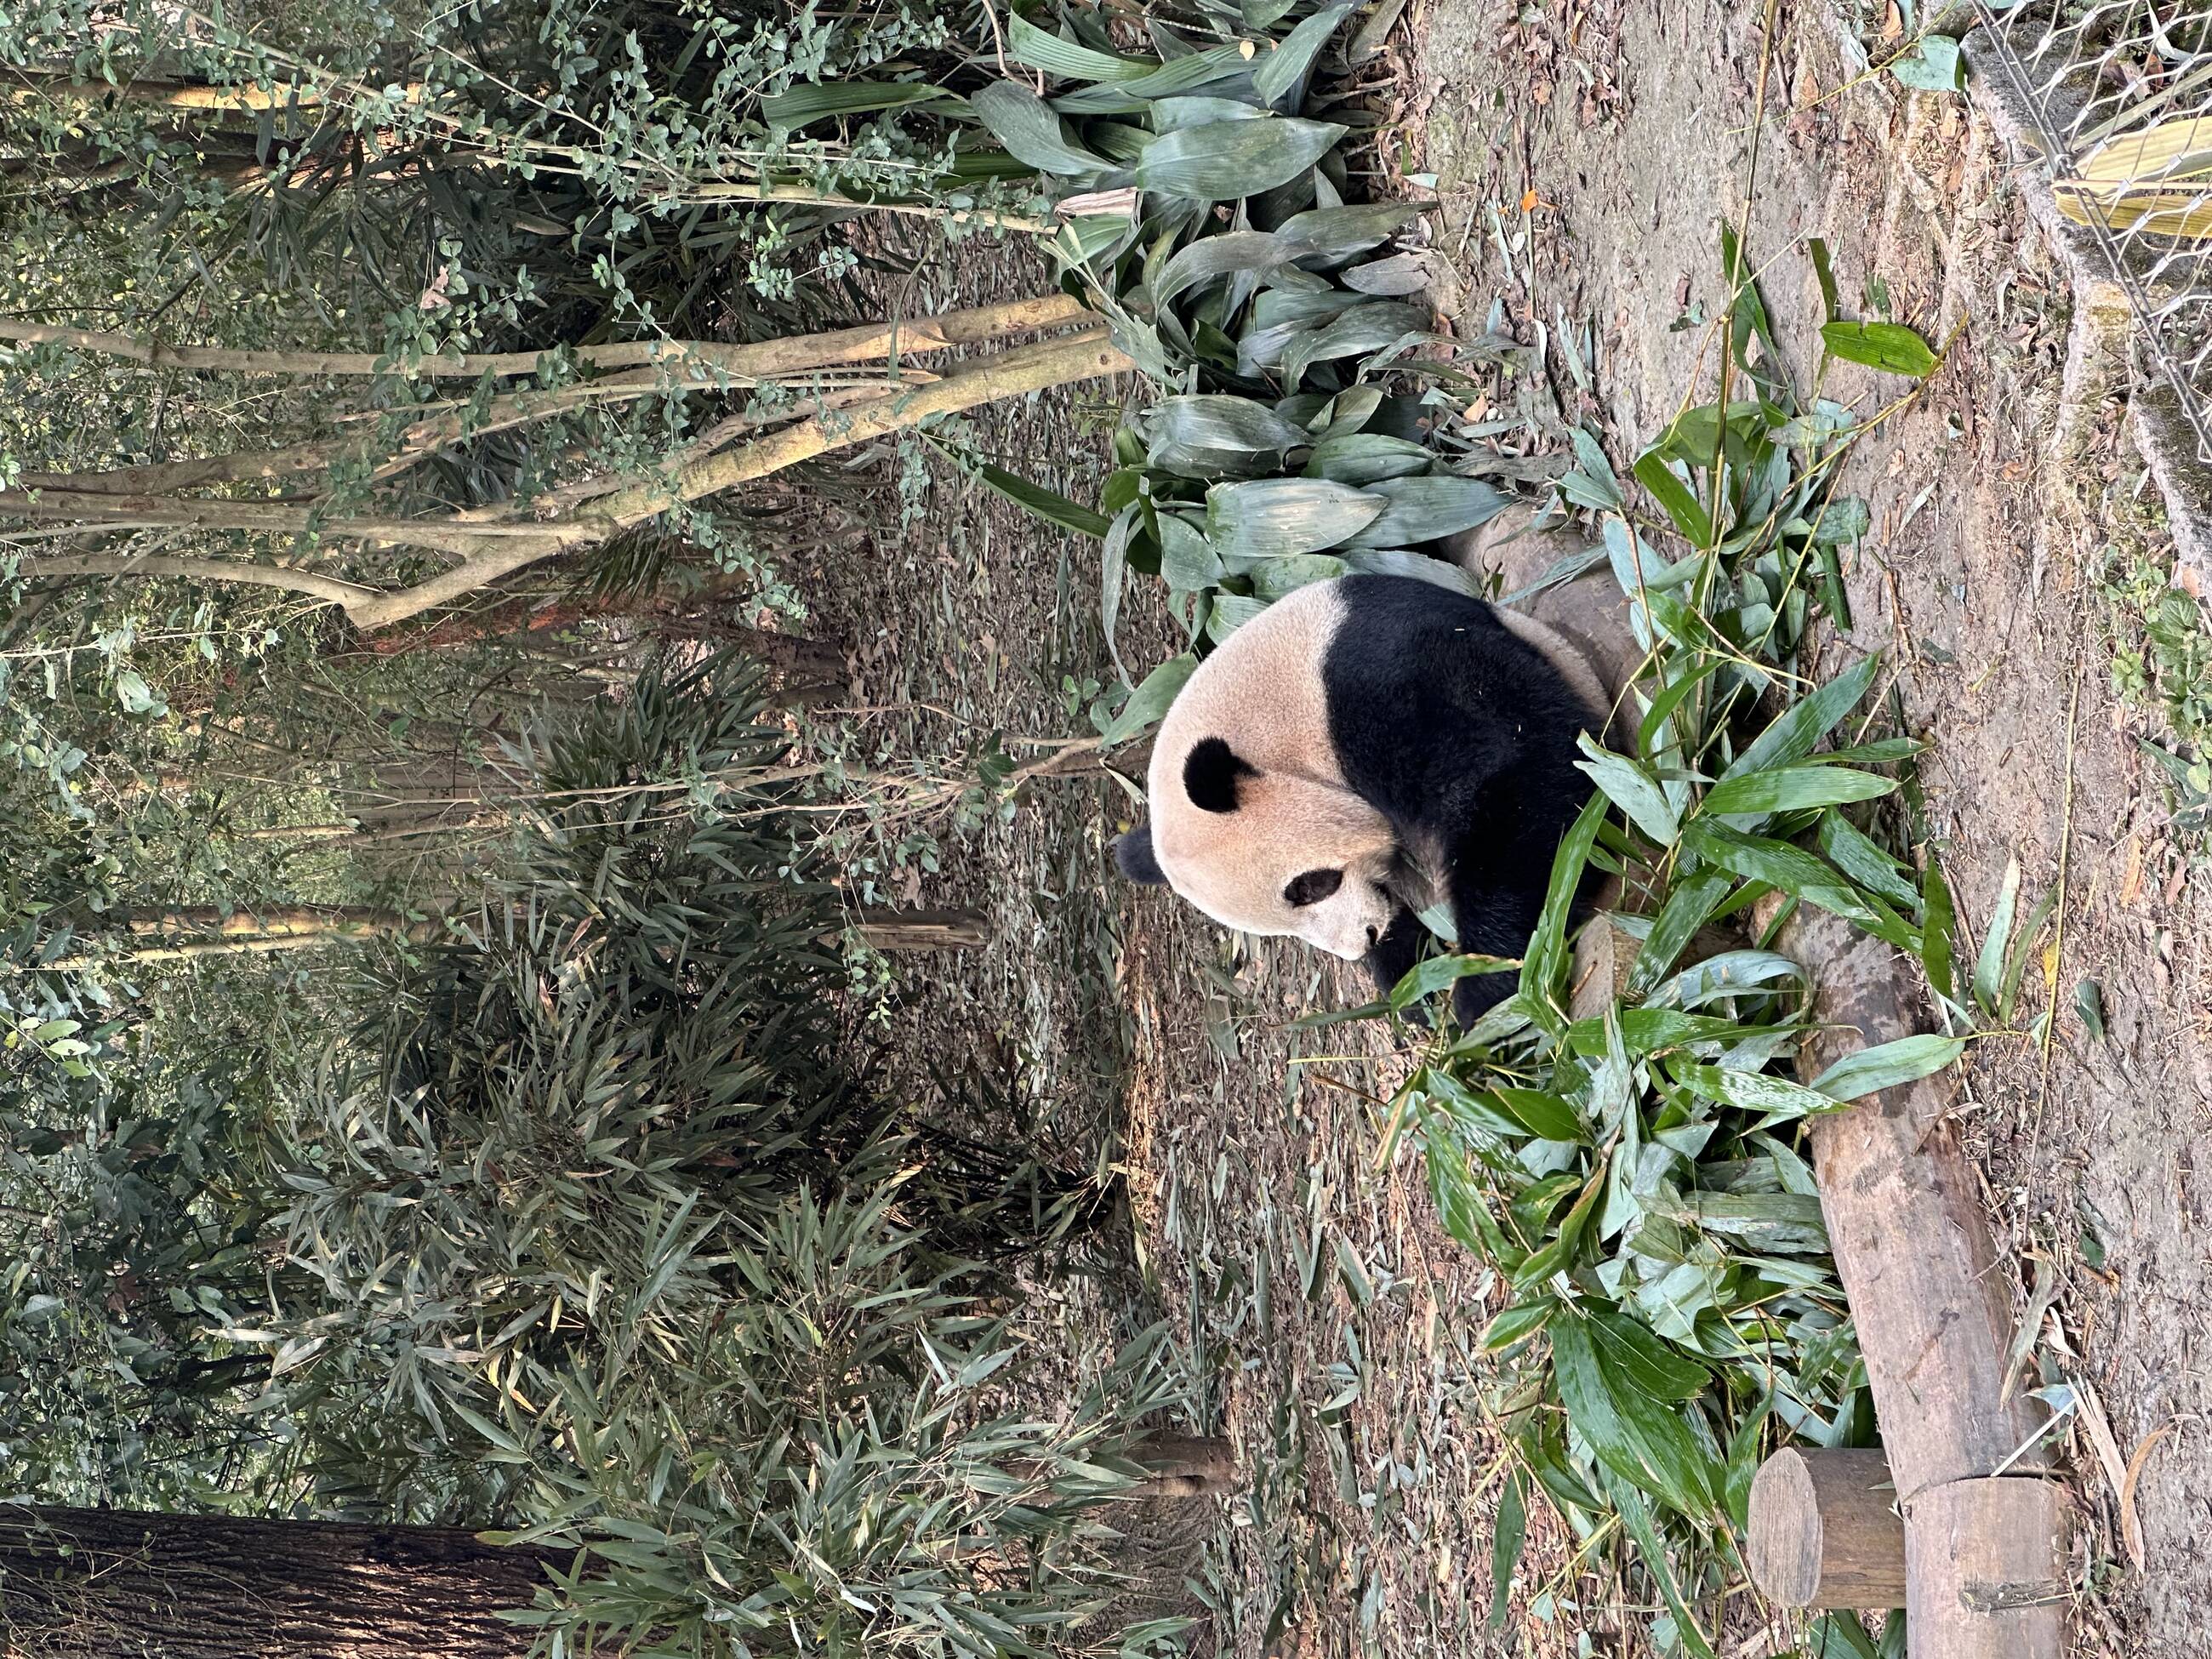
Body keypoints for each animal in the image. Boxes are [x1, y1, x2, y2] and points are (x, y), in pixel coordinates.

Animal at [1112, 572, 1605, 1027]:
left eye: (1310, 885)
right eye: (1279, 929)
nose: (1363, 940)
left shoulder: (1371, 684)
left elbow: (1508, 770)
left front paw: (1486, 989)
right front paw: (1412, 980)